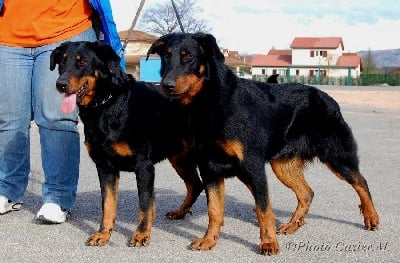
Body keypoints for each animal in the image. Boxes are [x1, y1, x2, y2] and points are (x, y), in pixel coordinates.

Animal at [49, 41, 203, 248]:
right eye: (62, 62)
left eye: (82, 62)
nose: (60, 84)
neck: (107, 105)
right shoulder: (105, 167)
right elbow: (108, 204)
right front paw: (103, 234)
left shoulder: (144, 166)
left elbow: (145, 203)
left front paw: (141, 234)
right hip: (179, 157)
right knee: (196, 185)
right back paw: (180, 212)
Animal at [148, 33, 380, 256]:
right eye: (166, 56)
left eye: (188, 56)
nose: (166, 85)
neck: (209, 102)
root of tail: (329, 99)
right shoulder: (210, 169)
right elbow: (214, 210)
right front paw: (209, 240)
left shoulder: (252, 167)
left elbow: (263, 209)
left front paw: (268, 243)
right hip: (283, 166)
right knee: (307, 194)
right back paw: (292, 225)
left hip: (337, 157)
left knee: (361, 182)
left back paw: (371, 217)